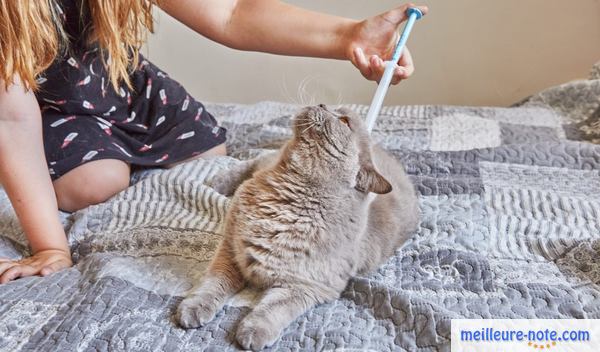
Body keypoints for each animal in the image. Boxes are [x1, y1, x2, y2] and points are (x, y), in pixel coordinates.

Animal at [176, 104, 420, 350]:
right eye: (335, 110)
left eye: (344, 121)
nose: (322, 105)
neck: (287, 201)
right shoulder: (231, 250)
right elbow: (214, 283)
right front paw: (194, 308)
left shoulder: (306, 287)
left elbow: (275, 308)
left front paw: (253, 332)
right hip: (262, 164)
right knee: (251, 163)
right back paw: (218, 182)